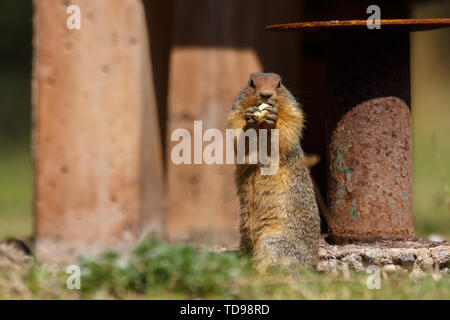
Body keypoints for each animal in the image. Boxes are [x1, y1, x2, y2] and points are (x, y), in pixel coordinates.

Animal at [229, 73, 320, 272]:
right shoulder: (235, 113)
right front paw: (250, 118)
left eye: (279, 84)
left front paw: (272, 119)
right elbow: (237, 133)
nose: (266, 94)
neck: (261, 128)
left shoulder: (293, 112)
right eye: (251, 83)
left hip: (273, 242)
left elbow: (287, 129)